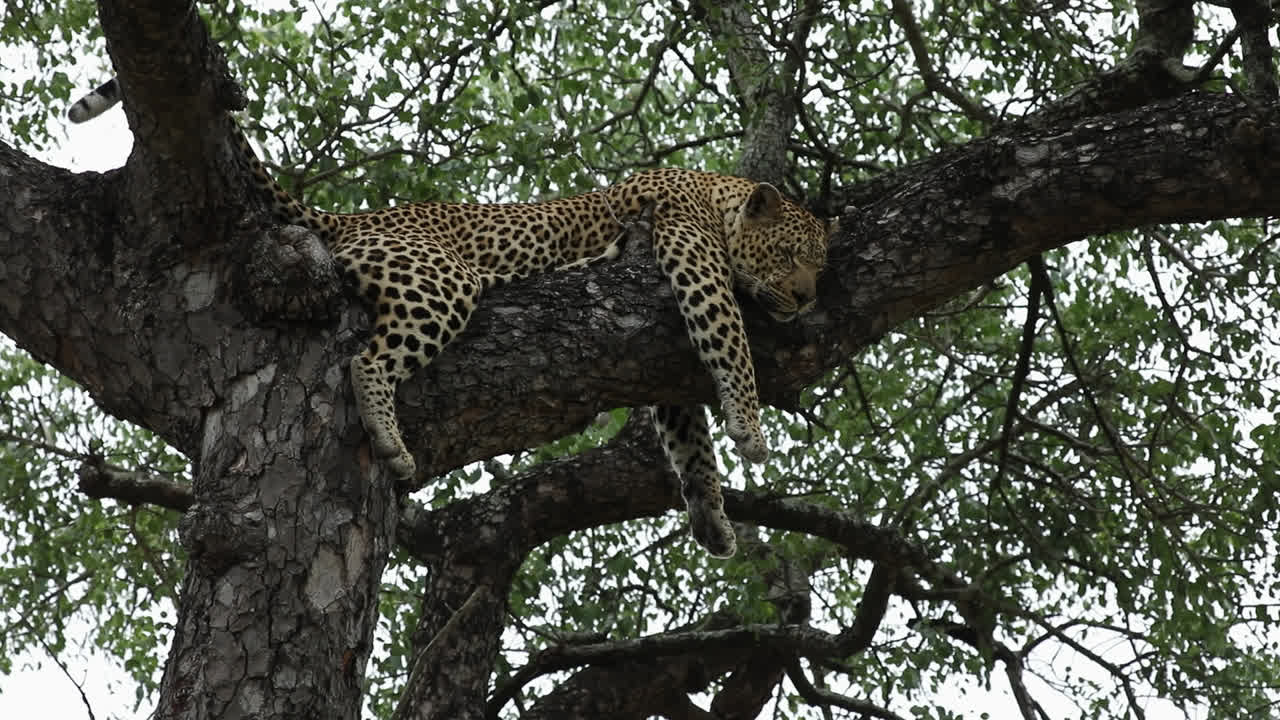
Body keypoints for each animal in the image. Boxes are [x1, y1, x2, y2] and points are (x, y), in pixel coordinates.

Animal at [69, 78, 835, 558]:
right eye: (791, 255)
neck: (719, 196)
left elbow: (685, 433)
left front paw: (711, 514)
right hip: (443, 280)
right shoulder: (690, 257)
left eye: (818, 266)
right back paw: (390, 440)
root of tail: (355, 218)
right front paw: (750, 428)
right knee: (367, 359)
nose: (807, 298)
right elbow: (728, 338)